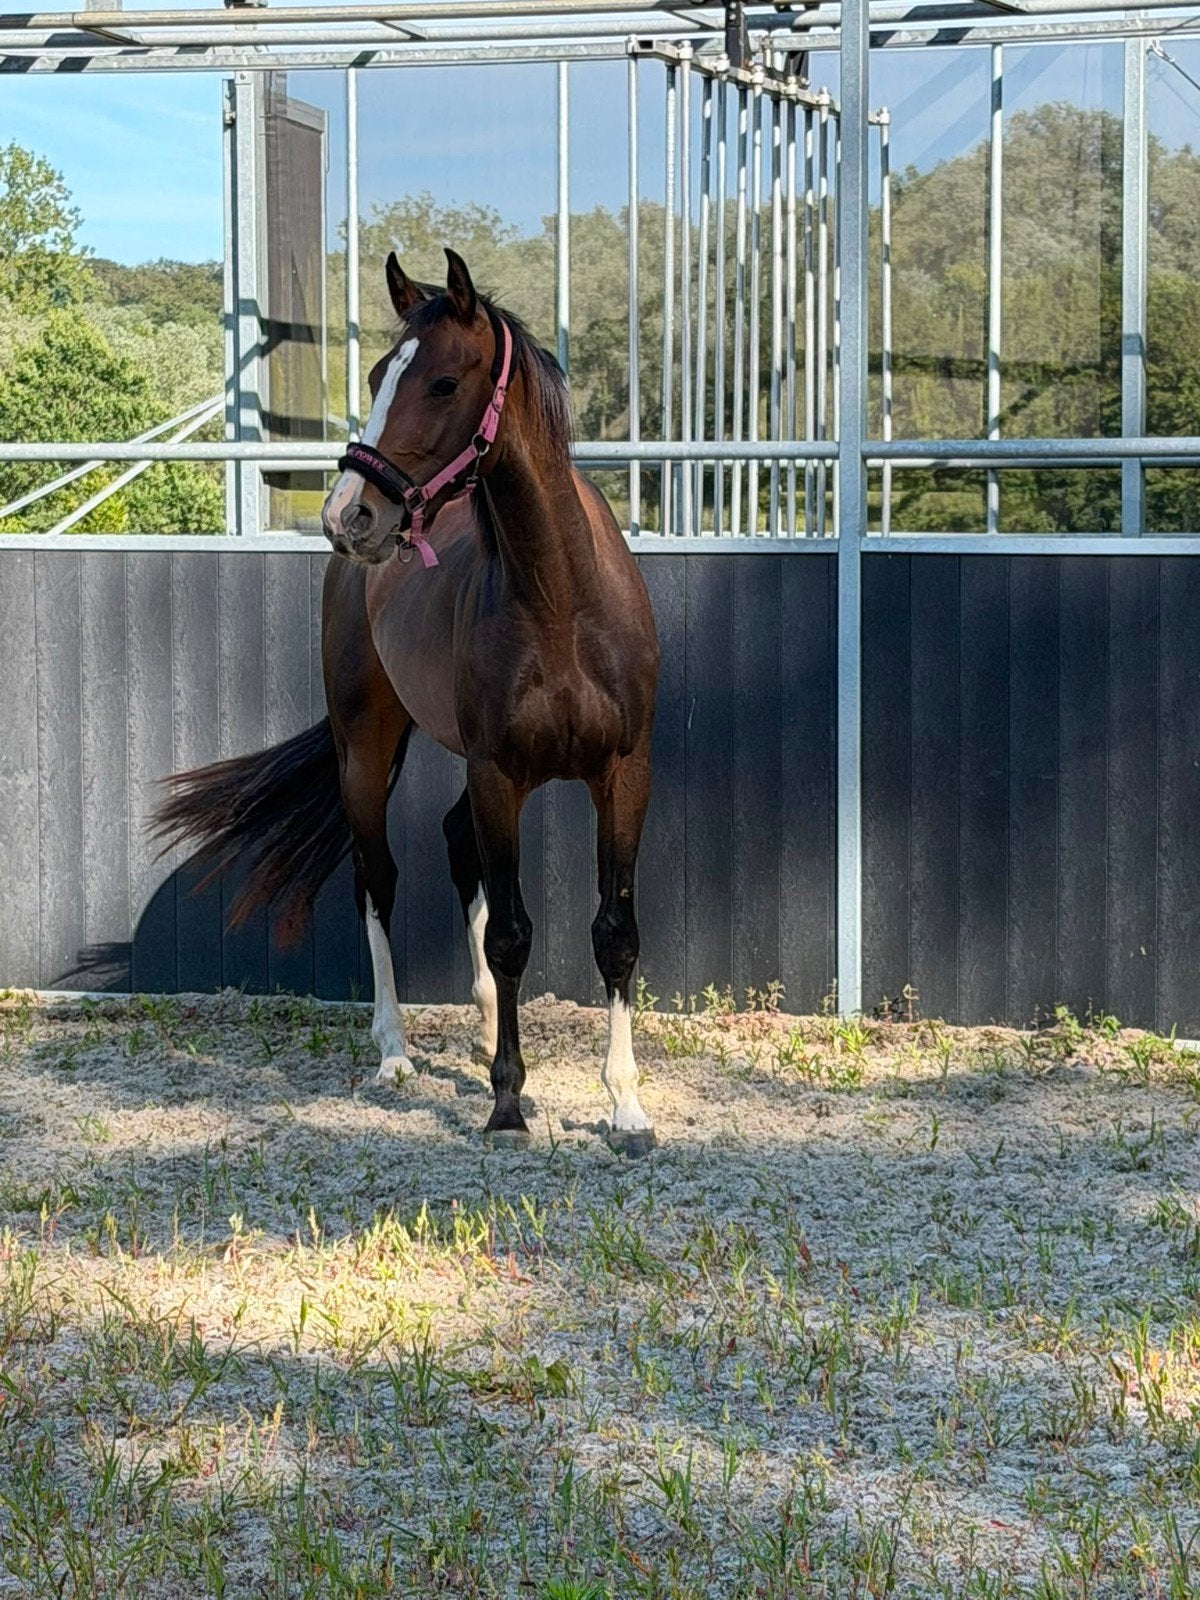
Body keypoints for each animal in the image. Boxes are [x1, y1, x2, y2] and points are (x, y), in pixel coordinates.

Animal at [154, 248, 661, 1153]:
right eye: (375, 373)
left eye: (443, 382)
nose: (348, 514)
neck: (563, 600)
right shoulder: (499, 773)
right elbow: (512, 932)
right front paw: (507, 1102)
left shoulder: (622, 774)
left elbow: (614, 931)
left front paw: (625, 1106)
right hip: (367, 747)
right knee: (377, 879)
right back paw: (393, 1050)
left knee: (455, 847)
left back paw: (485, 1025)